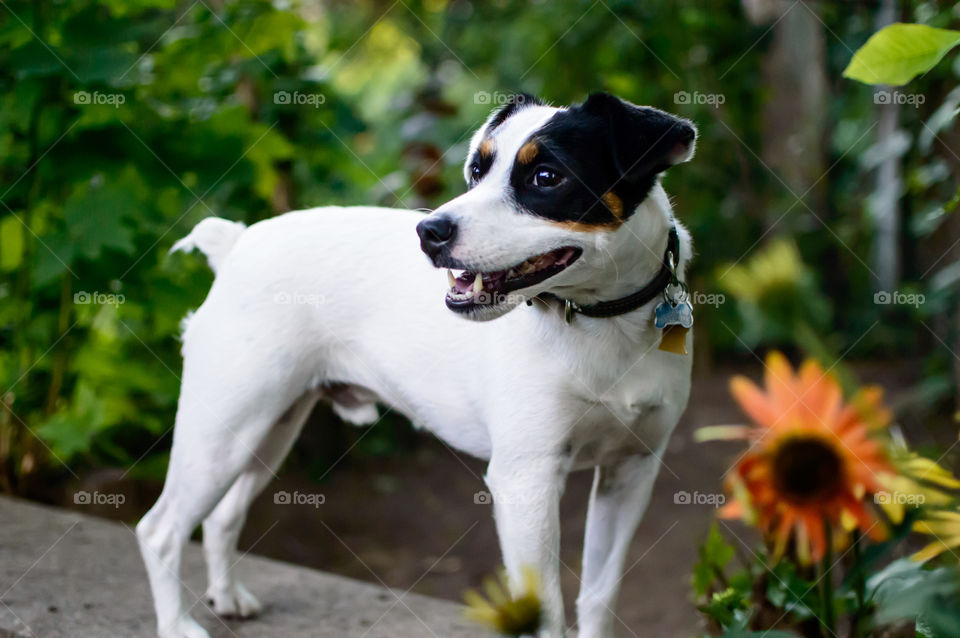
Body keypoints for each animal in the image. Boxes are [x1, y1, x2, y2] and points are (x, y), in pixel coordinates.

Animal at [139, 91, 696, 638]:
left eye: (546, 177)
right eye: (476, 171)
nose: (429, 230)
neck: (603, 324)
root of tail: (237, 243)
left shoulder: (629, 473)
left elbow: (599, 598)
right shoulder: (527, 481)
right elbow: (546, 614)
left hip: (267, 430)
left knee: (221, 517)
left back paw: (227, 596)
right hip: (223, 434)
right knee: (160, 529)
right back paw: (178, 625)